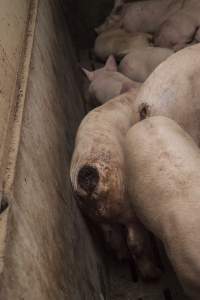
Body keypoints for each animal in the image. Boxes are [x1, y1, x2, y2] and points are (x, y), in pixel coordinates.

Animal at [70, 88, 161, 280]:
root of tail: (88, 173)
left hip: (92, 213)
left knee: (111, 237)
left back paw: (123, 258)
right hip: (127, 206)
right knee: (135, 243)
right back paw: (153, 274)